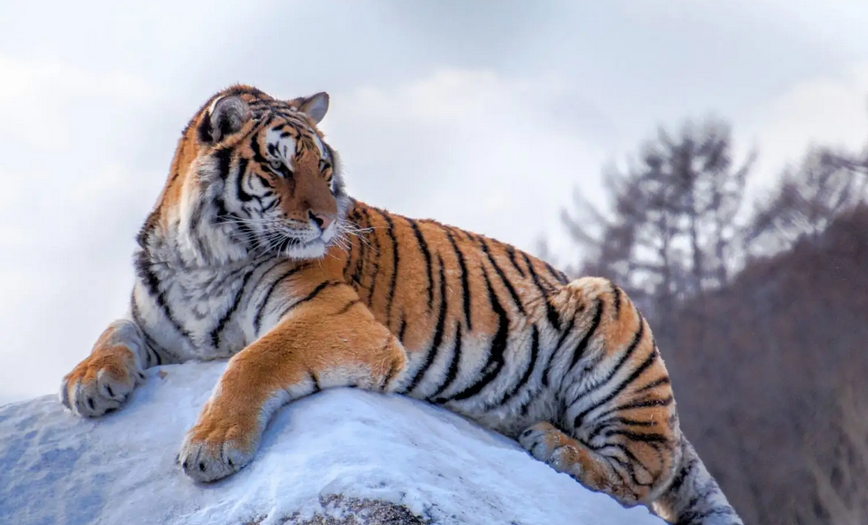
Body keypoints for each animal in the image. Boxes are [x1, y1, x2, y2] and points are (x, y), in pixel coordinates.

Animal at [60, 85, 743, 525]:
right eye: (280, 167)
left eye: (325, 168)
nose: (327, 219)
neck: (203, 259)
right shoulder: (161, 325)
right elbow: (115, 330)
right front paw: (88, 383)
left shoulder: (336, 319)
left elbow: (253, 359)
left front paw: (212, 445)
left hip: (610, 315)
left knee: (642, 474)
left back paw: (556, 447)